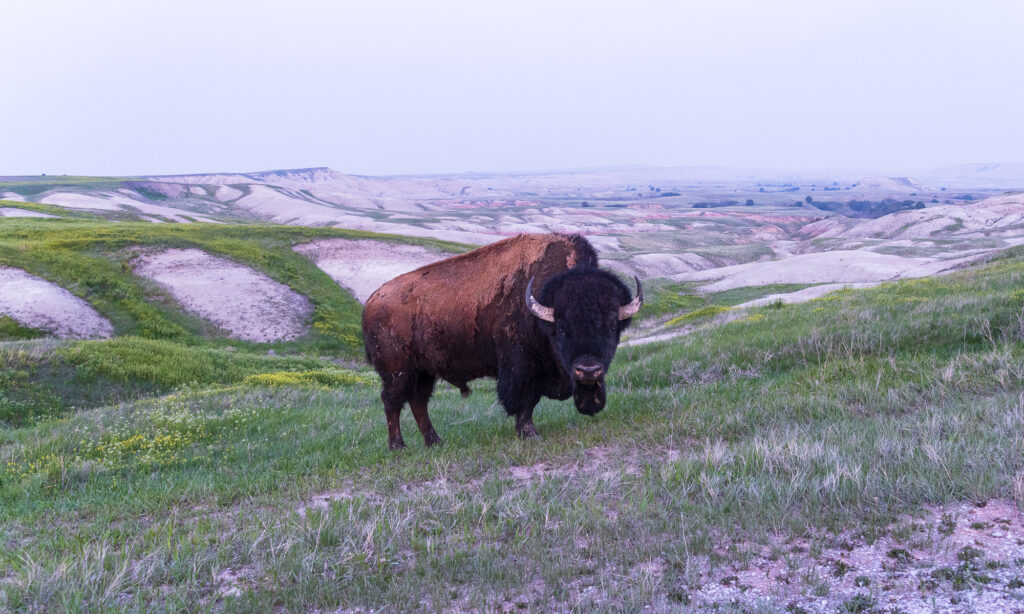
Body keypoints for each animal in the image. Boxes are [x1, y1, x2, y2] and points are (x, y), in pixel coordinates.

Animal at [364, 232, 643, 448]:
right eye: (561, 327)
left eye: (612, 327)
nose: (588, 370)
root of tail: (372, 300)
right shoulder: (521, 366)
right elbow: (525, 400)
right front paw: (529, 433)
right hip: (398, 372)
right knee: (392, 401)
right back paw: (398, 446)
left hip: (424, 372)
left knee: (418, 402)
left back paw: (435, 442)